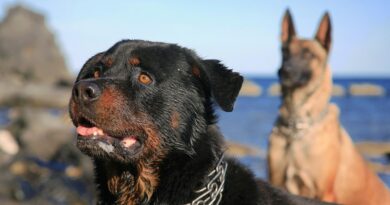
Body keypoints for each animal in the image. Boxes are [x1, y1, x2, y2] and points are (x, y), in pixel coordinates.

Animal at [266, 10, 390, 205]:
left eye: (309, 54)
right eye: (284, 52)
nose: (284, 71)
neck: (296, 128)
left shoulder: (324, 192)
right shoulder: (277, 182)